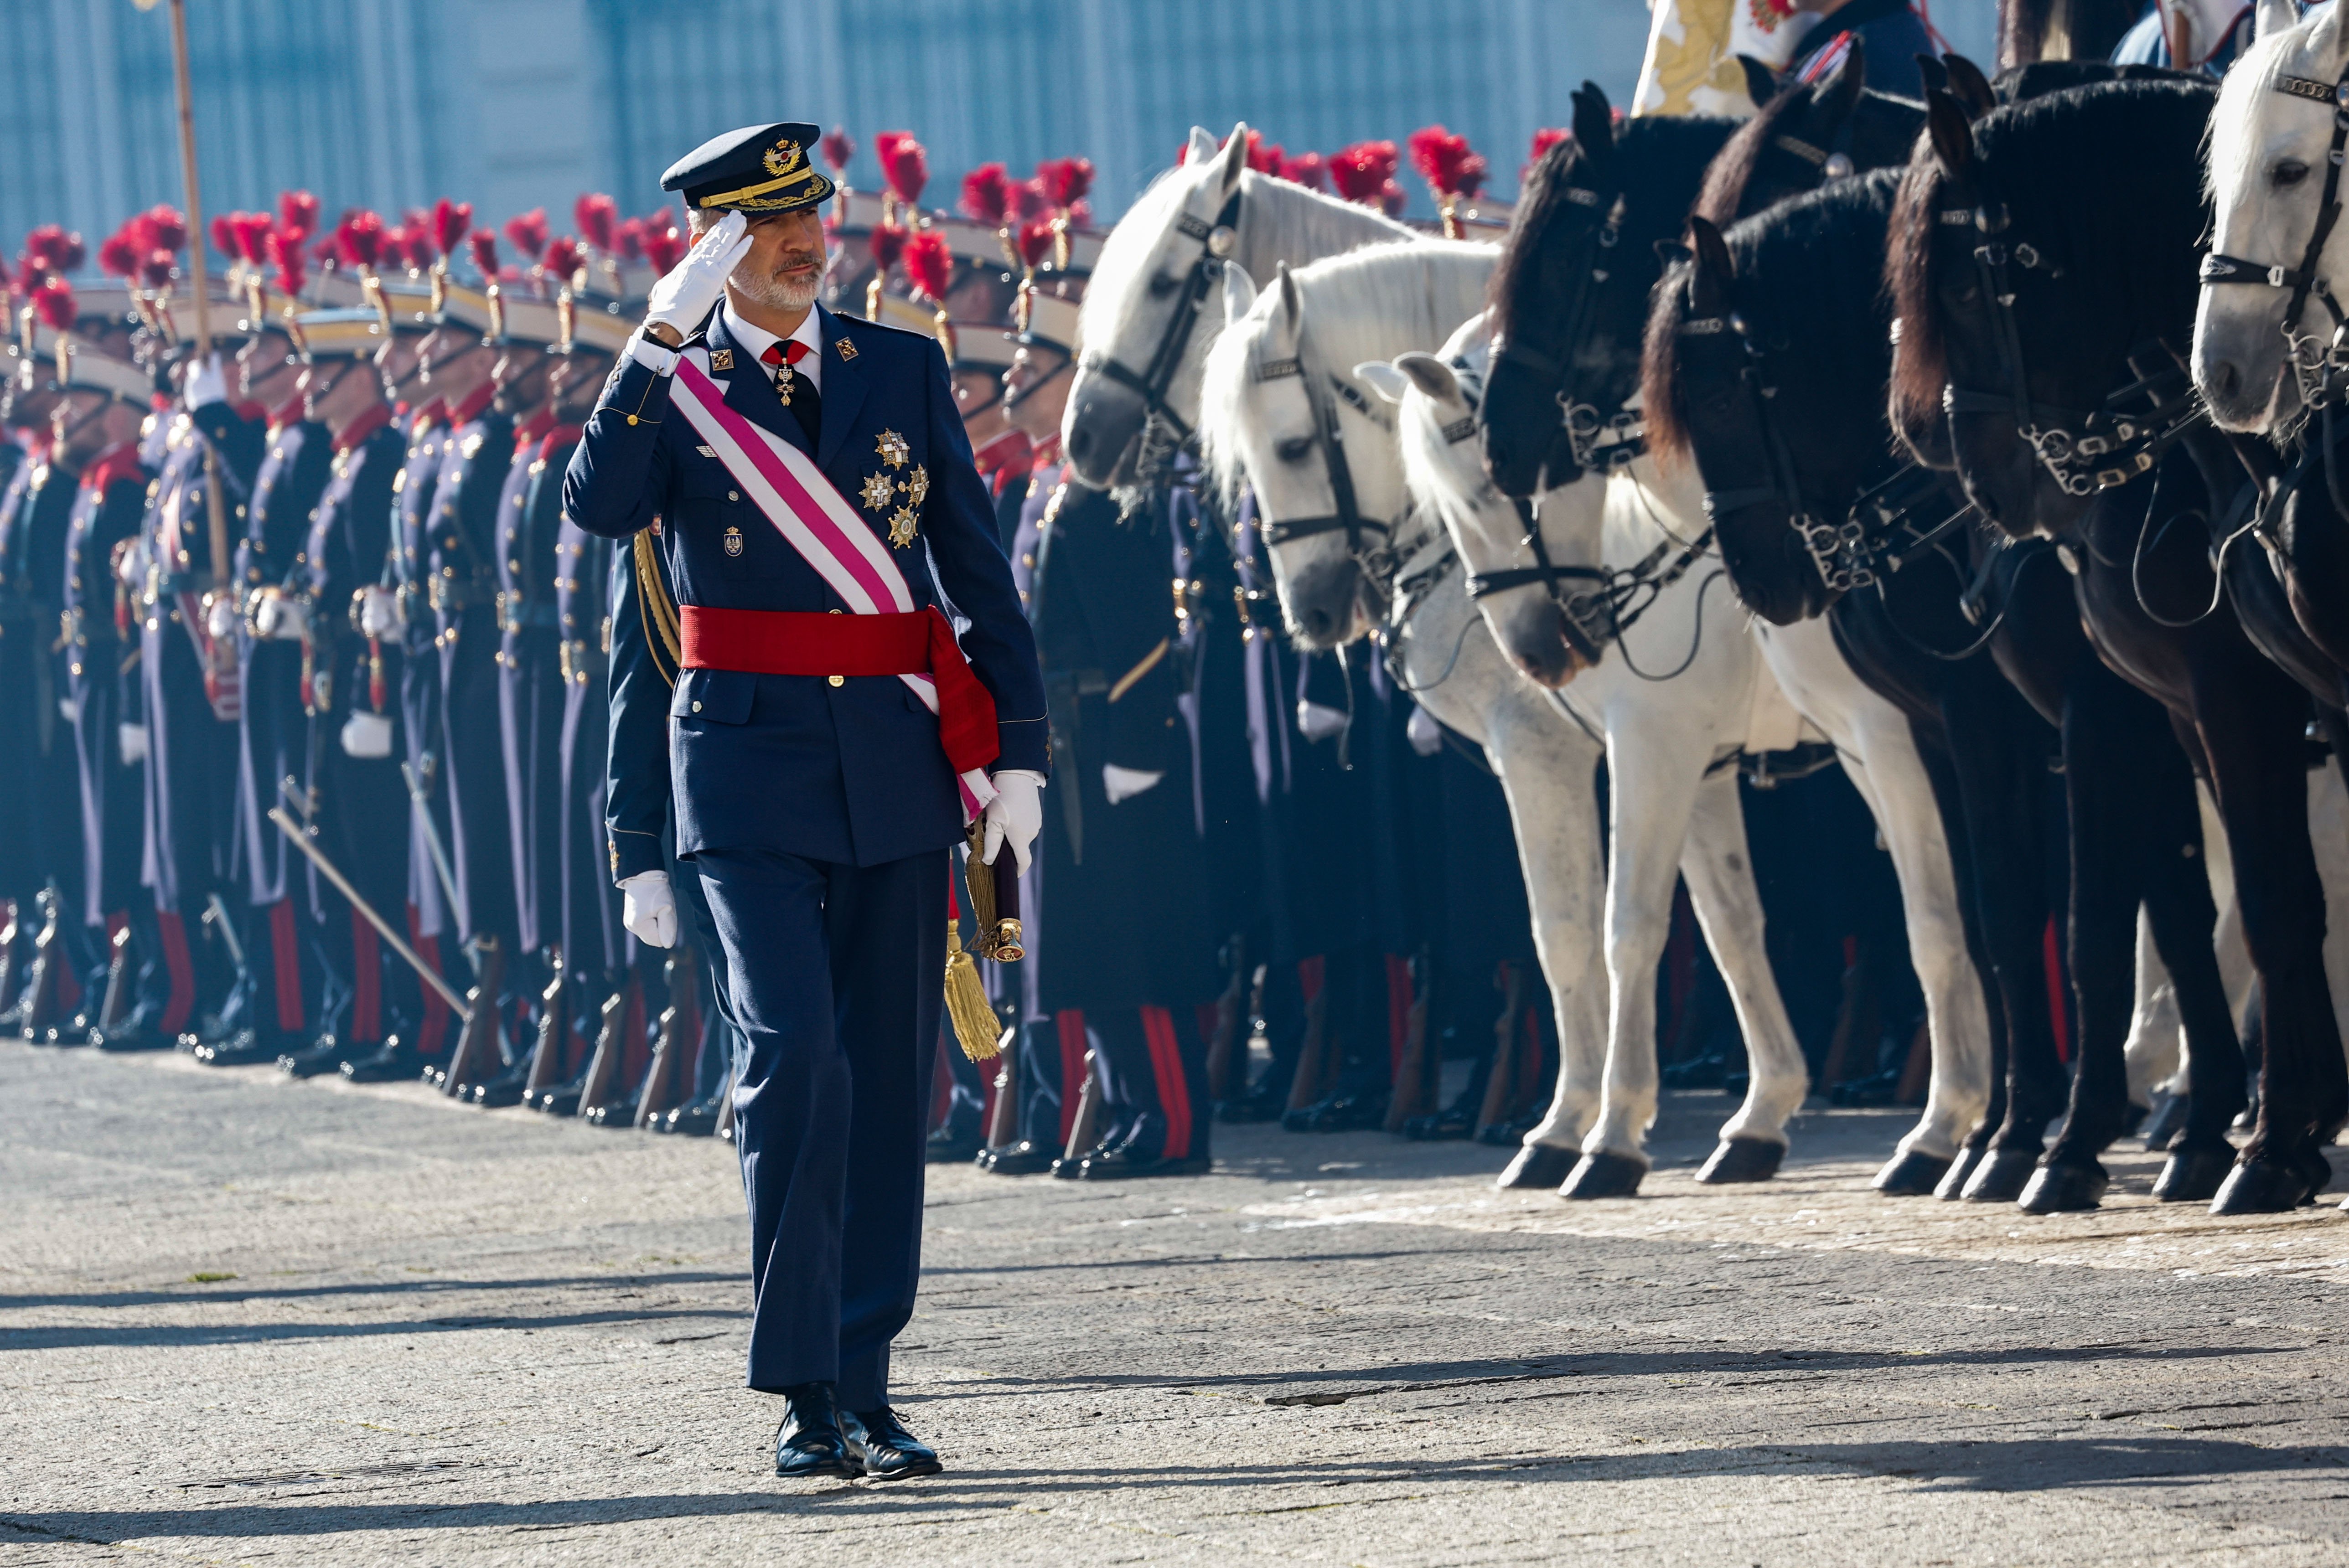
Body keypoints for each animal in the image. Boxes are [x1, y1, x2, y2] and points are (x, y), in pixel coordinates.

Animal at [1193, 245, 1813, 1192]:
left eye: (1293, 446)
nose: (1311, 613)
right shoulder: (1693, 760)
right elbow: (1724, 927)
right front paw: (1751, 1116)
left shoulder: (1601, 748)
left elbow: (1596, 930)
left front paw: (1593, 1129)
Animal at [1644, 169, 2246, 1202]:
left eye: (1719, 394)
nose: (1760, 583)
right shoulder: (1956, 733)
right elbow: (1995, 917)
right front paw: (1996, 1132)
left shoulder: (2056, 717)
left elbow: (2059, 917)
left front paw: (2034, 1136)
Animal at [1898, 80, 2339, 1220]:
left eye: (1960, 285)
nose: (1976, 474)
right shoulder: (2180, 712)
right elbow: (2200, 902)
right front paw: (2258, 1130)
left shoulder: (2178, 705)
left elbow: (2138, 913)